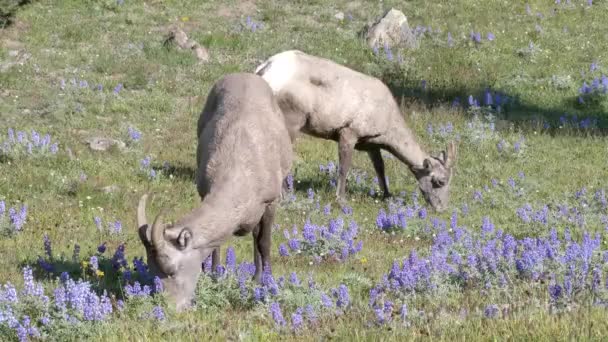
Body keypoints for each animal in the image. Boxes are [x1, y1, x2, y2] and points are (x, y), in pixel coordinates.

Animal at [137, 73, 294, 312]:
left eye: (171, 268)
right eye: (150, 267)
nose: (171, 308)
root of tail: (245, 75)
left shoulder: (270, 202)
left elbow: (263, 243)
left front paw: (266, 283)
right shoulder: (204, 190)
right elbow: (216, 245)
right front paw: (214, 277)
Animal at [254, 50, 458, 211]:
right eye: (440, 181)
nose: (441, 208)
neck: (388, 120)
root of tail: (265, 69)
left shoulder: (371, 144)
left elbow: (380, 168)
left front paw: (387, 195)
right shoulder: (348, 133)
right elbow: (344, 168)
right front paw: (341, 199)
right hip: (292, 121)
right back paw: (285, 196)